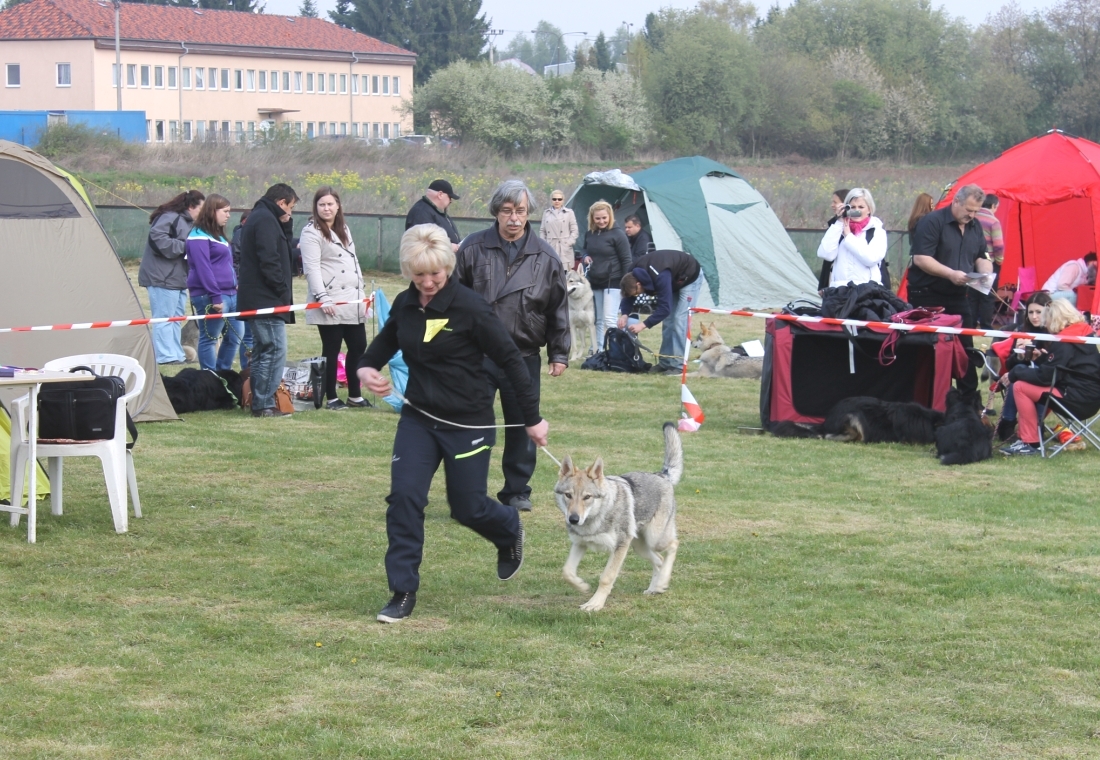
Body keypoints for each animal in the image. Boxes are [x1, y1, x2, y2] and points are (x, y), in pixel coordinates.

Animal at [554, 422, 682, 611]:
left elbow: (606, 577)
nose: (574, 519)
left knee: (673, 545)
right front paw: (582, 586)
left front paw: (595, 603)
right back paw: (655, 588)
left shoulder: (620, 547)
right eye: (568, 495)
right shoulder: (580, 543)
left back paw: (661, 583)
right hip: (639, 547)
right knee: (659, 560)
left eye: (587, 497)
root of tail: (661, 474)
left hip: (655, 539)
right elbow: (567, 572)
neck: (595, 520)